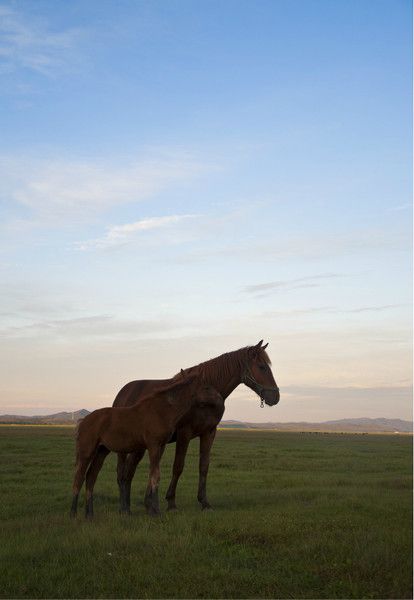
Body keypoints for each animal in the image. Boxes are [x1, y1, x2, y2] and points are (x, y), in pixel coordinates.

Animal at [70, 372, 223, 516]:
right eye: (206, 387)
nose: (220, 399)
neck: (161, 410)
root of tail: (82, 421)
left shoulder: (160, 446)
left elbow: (153, 475)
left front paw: (153, 508)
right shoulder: (153, 445)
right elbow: (156, 475)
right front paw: (156, 511)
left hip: (102, 452)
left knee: (91, 477)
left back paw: (89, 515)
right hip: (86, 452)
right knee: (79, 478)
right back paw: (73, 513)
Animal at [115, 340, 280, 512]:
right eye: (262, 367)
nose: (275, 396)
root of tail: (123, 393)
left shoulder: (208, 433)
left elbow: (204, 466)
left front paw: (204, 501)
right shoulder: (184, 433)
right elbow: (178, 466)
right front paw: (171, 502)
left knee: (129, 471)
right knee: (123, 472)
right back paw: (125, 507)